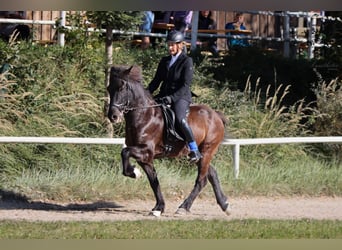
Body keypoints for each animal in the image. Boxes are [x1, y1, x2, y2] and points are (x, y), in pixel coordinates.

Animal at [107, 64, 230, 217]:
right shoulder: (145, 158)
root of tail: (216, 115)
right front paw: (158, 207)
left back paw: (184, 207)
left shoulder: (146, 150)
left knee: (201, 180)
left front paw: (135, 173)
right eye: (109, 88)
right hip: (202, 154)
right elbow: (154, 181)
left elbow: (125, 152)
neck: (144, 115)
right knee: (212, 173)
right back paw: (224, 204)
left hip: (208, 150)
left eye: (122, 88)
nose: (113, 116)